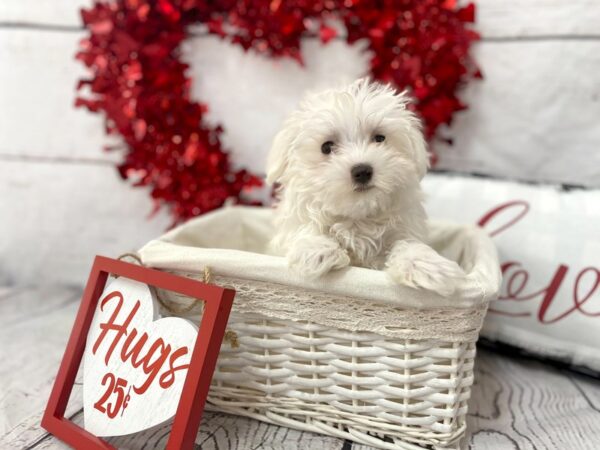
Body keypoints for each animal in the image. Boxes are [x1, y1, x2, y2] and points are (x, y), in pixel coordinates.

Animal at [266, 79, 464, 298]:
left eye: (379, 138)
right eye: (326, 147)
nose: (362, 171)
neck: (359, 217)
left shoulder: (405, 227)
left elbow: (408, 243)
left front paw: (426, 266)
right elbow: (303, 231)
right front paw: (317, 250)